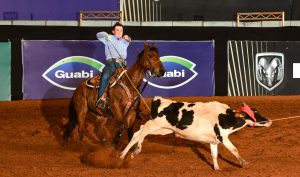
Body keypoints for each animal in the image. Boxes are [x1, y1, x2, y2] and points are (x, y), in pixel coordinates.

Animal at [120, 96, 272, 171]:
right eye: (253, 114)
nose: (269, 121)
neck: (225, 116)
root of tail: (159, 100)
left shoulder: (214, 141)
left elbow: (214, 154)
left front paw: (217, 169)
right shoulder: (222, 136)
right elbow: (234, 149)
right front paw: (244, 163)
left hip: (162, 129)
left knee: (140, 132)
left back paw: (135, 151)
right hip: (154, 125)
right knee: (137, 135)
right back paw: (122, 155)